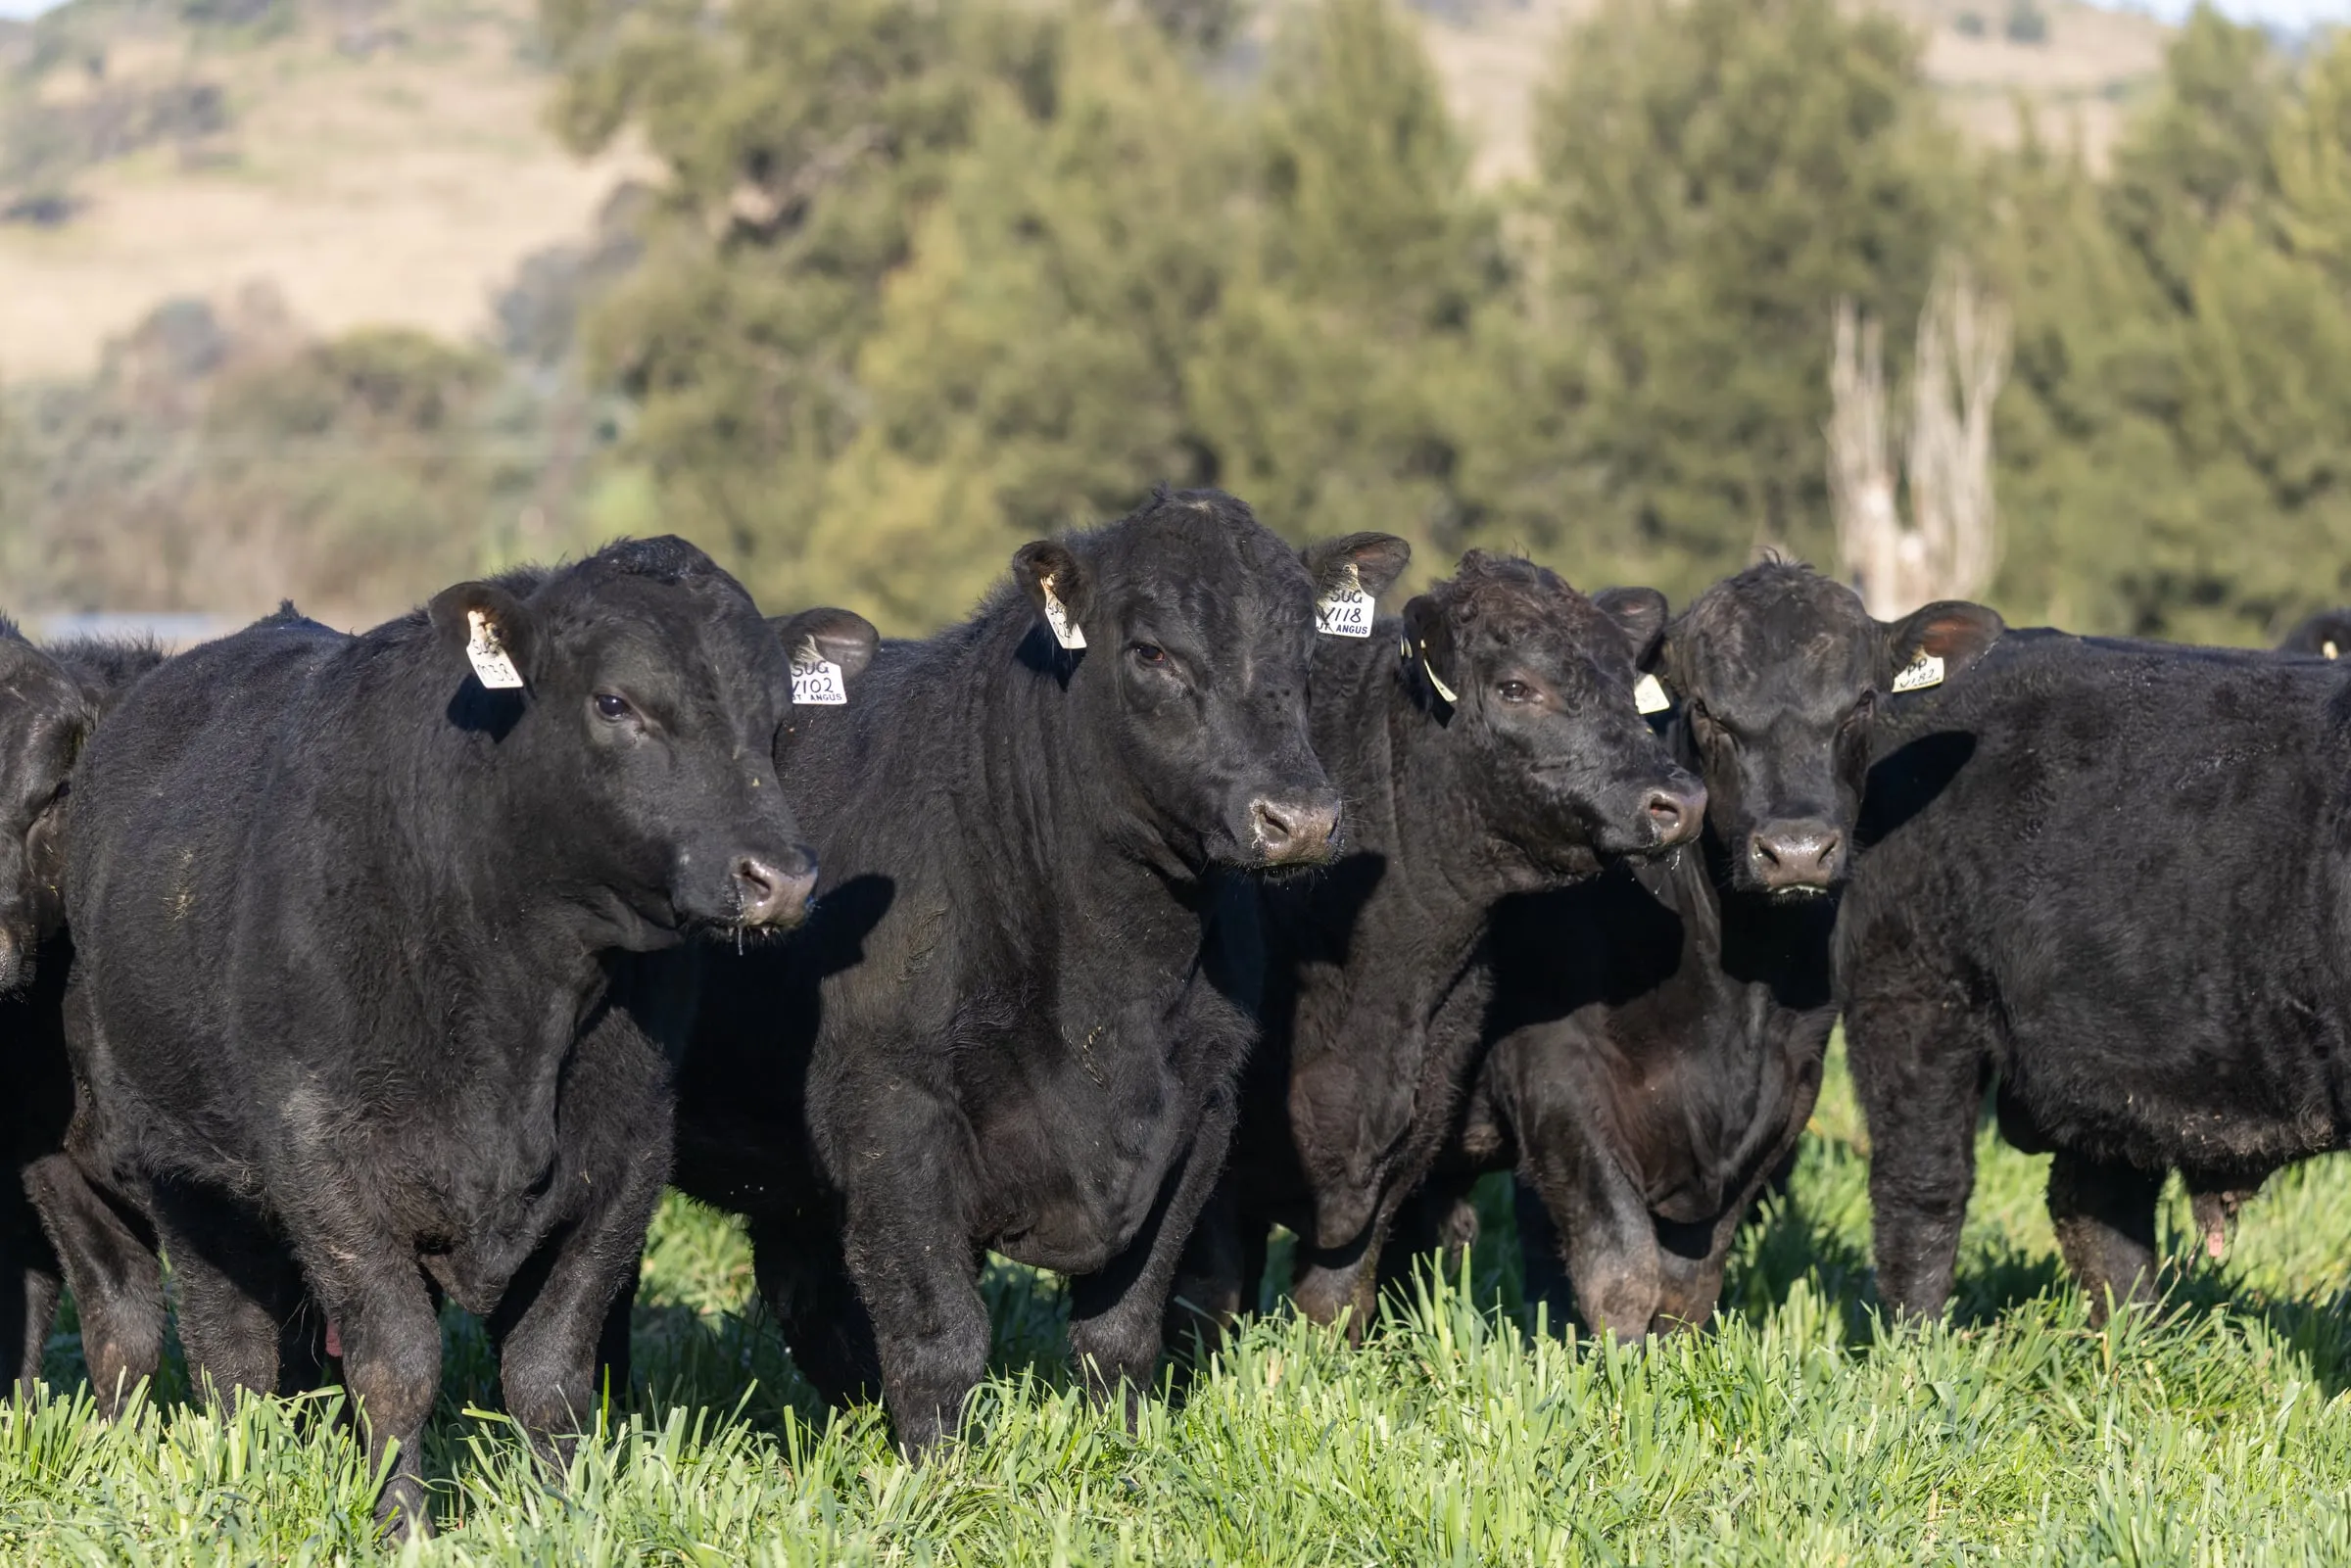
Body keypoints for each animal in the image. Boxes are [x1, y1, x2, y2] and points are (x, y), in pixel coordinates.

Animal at [33, 538, 872, 1534]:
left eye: (780, 719)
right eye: (615, 702)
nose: (780, 876)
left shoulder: (623, 1164)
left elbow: (551, 1372)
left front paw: (566, 1512)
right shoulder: (324, 1163)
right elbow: (396, 1367)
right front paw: (403, 1525)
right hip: (180, 1169)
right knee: (215, 1344)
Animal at [670, 487, 1407, 1452]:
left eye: (1312, 649)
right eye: (1151, 650)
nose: (1301, 818)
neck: (1113, 992)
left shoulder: (1201, 1108)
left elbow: (1123, 1325)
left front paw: (1125, 1454)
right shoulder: (889, 1106)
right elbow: (939, 1334)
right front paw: (943, 1474)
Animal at [1172, 550, 1710, 1344]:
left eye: (1626, 684)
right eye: (1516, 686)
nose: (1679, 801)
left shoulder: (1411, 1128)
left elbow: (1336, 1298)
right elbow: (1203, 1298)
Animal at [1397, 563, 2003, 1338]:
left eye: (1861, 705)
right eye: (1708, 711)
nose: (1796, 850)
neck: (1735, 987)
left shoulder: (1783, 1096)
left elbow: (1690, 1286)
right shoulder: (1554, 1078)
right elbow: (1623, 1269)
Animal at [1835, 625, 2351, 1324]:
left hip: (2116, 1057)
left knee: (2099, 1204)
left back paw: (2134, 1337)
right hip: (1910, 996)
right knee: (1924, 1188)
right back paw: (1916, 1340)